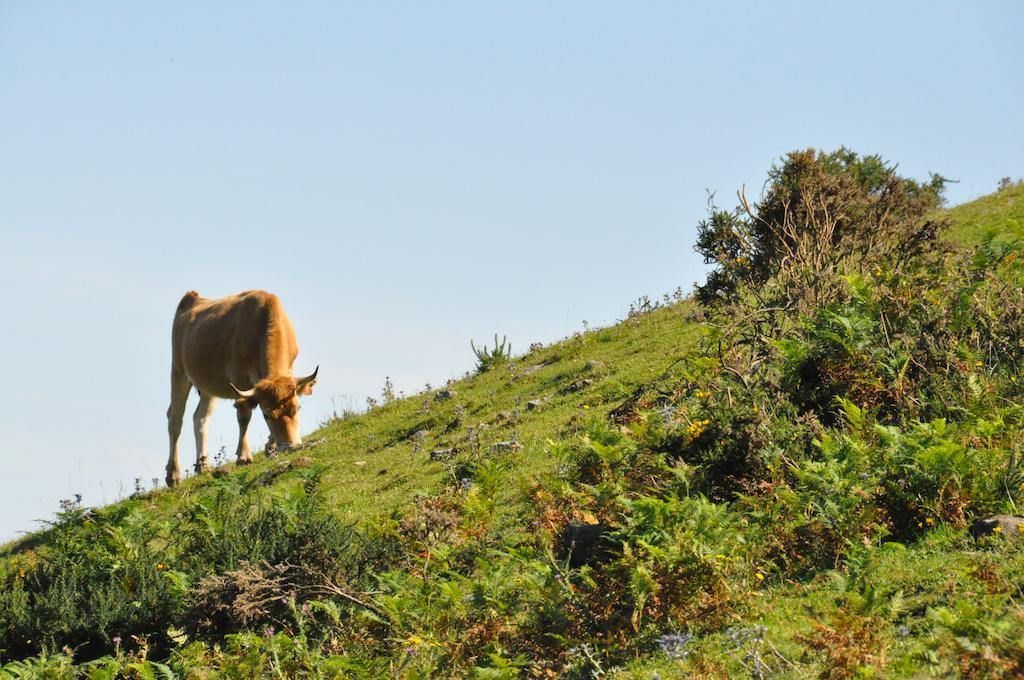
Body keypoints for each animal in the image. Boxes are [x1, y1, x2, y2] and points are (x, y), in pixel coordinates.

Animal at [165, 288, 317, 485]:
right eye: (266, 416)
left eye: (297, 409)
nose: (290, 446)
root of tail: (191, 298)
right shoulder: (239, 377)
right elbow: (244, 415)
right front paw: (243, 456)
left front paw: (270, 447)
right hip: (179, 371)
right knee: (175, 419)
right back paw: (173, 475)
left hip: (208, 386)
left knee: (200, 417)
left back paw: (202, 466)